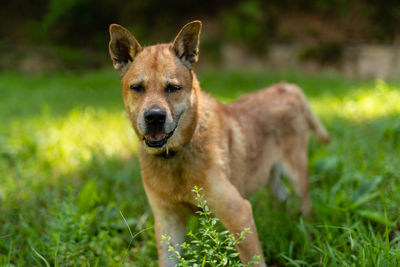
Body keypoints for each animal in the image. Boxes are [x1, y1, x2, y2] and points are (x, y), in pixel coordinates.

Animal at [108, 19, 330, 266]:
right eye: (137, 88)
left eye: (173, 88)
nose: (154, 117)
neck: (176, 157)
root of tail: (284, 87)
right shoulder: (168, 223)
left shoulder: (238, 212)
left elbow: (253, 260)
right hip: (267, 173)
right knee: (283, 195)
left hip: (296, 172)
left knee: (305, 205)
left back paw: (307, 235)